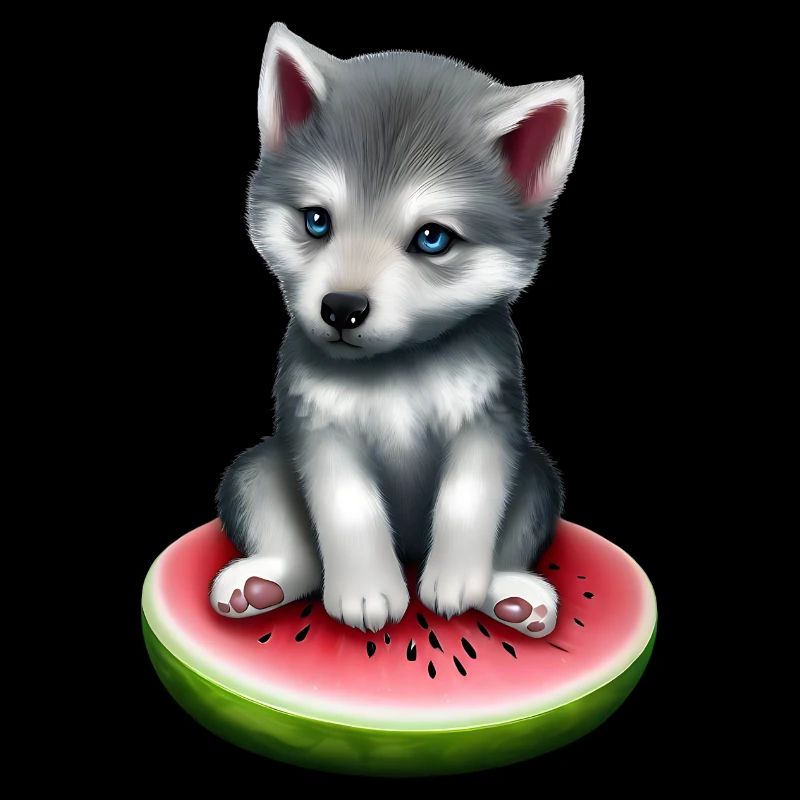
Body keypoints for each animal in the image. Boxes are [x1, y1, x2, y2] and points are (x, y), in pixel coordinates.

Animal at [211, 23, 584, 638]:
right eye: (317, 221)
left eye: (432, 238)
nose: (341, 309)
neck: (395, 368)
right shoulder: (318, 424)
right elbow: (348, 507)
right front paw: (366, 592)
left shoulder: (489, 419)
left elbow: (469, 499)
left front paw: (455, 582)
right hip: (257, 469)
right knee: (284, 528)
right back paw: (261, 584)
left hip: (537, 477)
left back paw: (512, 594)